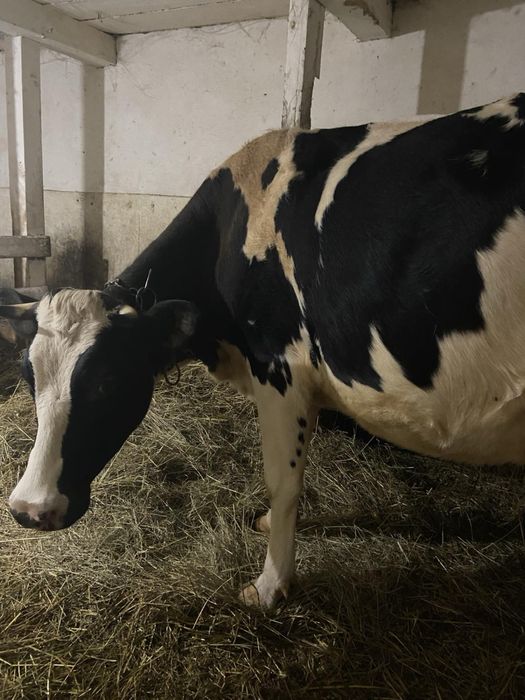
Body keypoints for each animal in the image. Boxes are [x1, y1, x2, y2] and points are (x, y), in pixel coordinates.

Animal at [1, 94, 525, 609]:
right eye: (28, 379)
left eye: (107, 381)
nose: (29, 509)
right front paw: (273, 526)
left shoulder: (279, 365)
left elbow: (282, 480)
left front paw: (269, 586)